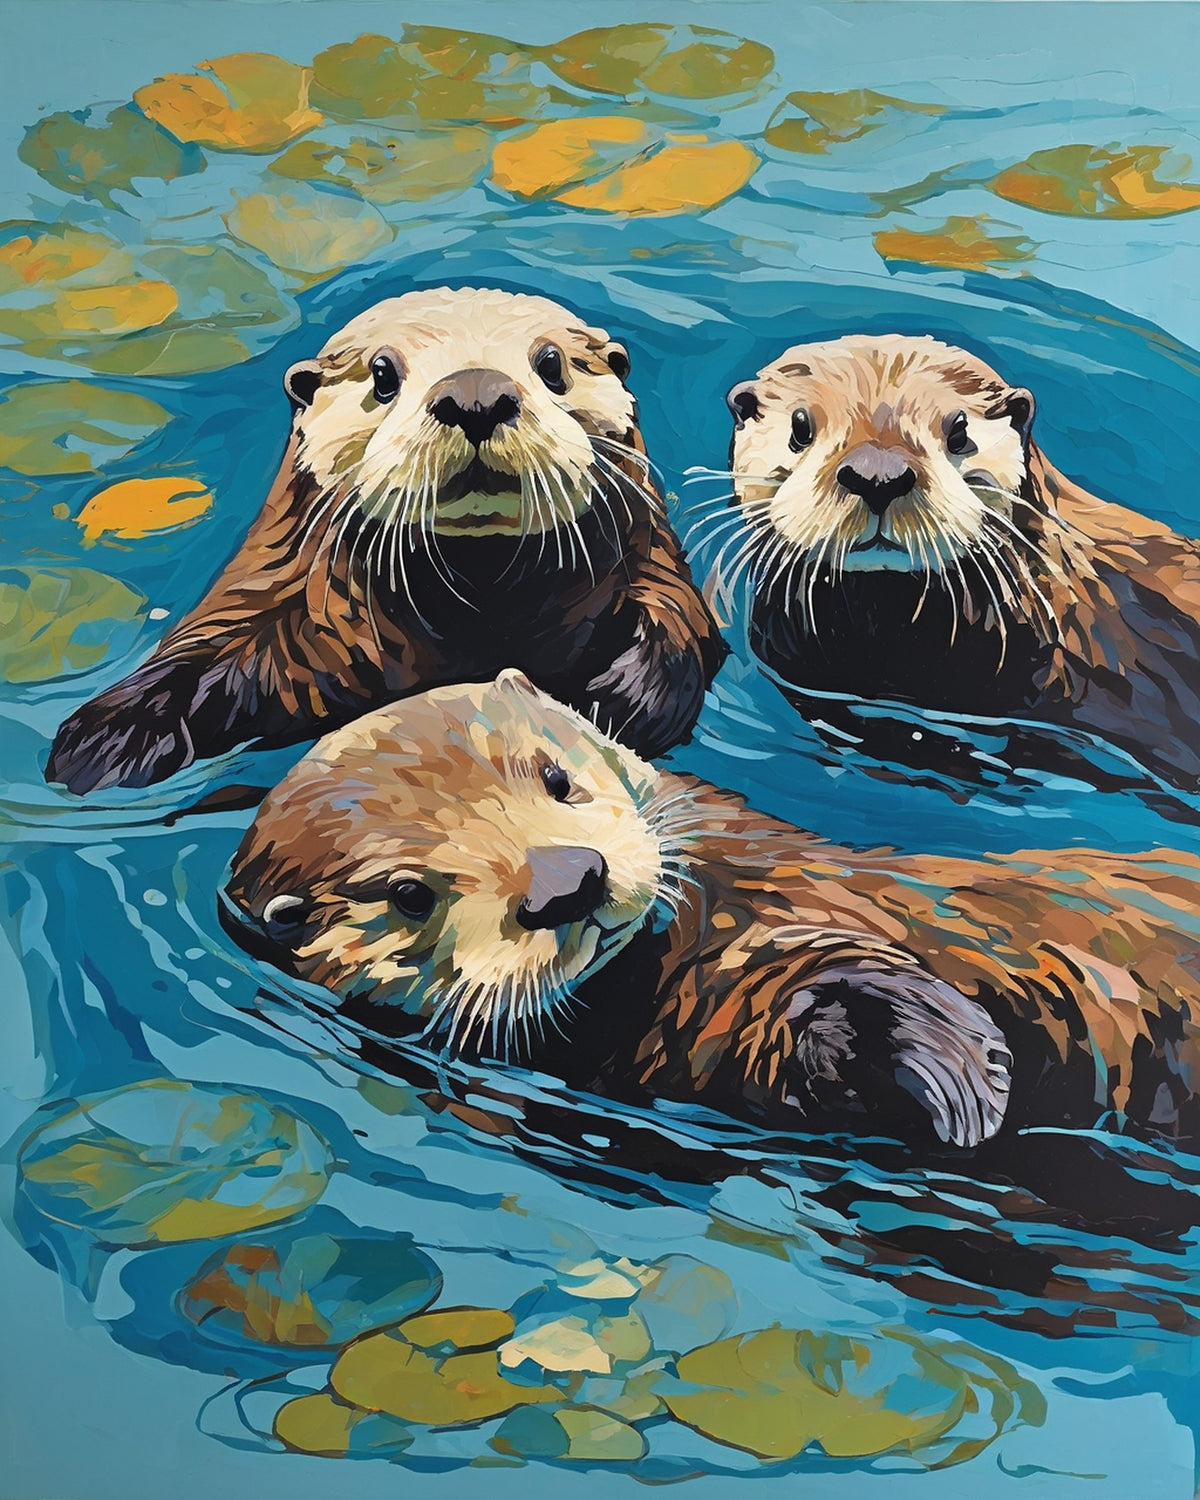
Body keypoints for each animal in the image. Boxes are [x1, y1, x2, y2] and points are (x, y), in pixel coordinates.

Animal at [47, 288, 724, 794]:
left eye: (552, 364)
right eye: (382, 373)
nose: (476, 394)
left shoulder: (650, 564)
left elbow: (680, 627)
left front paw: (621, 695)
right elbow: (203, 650)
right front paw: (108, 737)